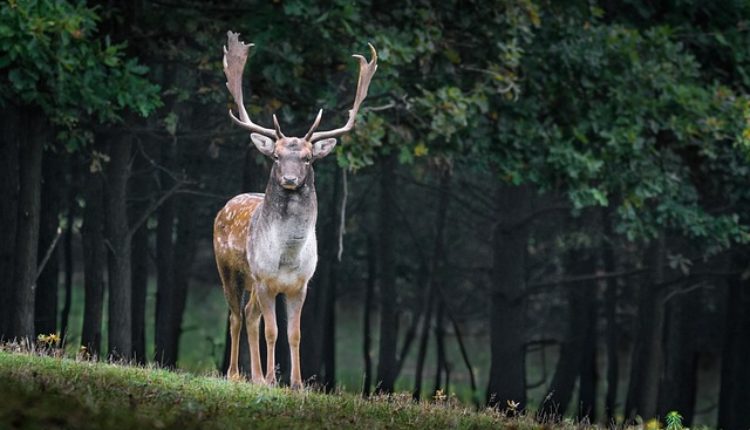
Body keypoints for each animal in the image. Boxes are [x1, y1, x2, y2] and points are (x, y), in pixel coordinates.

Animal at [213, 31, 378, 388]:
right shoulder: (265, 279)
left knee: (249, 315)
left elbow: (294, 334)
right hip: (229, 269)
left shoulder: (301, 285)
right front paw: (272, 379)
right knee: (235, 315)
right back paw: (236, 374)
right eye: (276, 156)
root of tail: (226, 205)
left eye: (307, 158)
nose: (289, 179)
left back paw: (255, 376)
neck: (287, 257)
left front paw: (297, 383)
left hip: (252, 282)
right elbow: (272, 331)